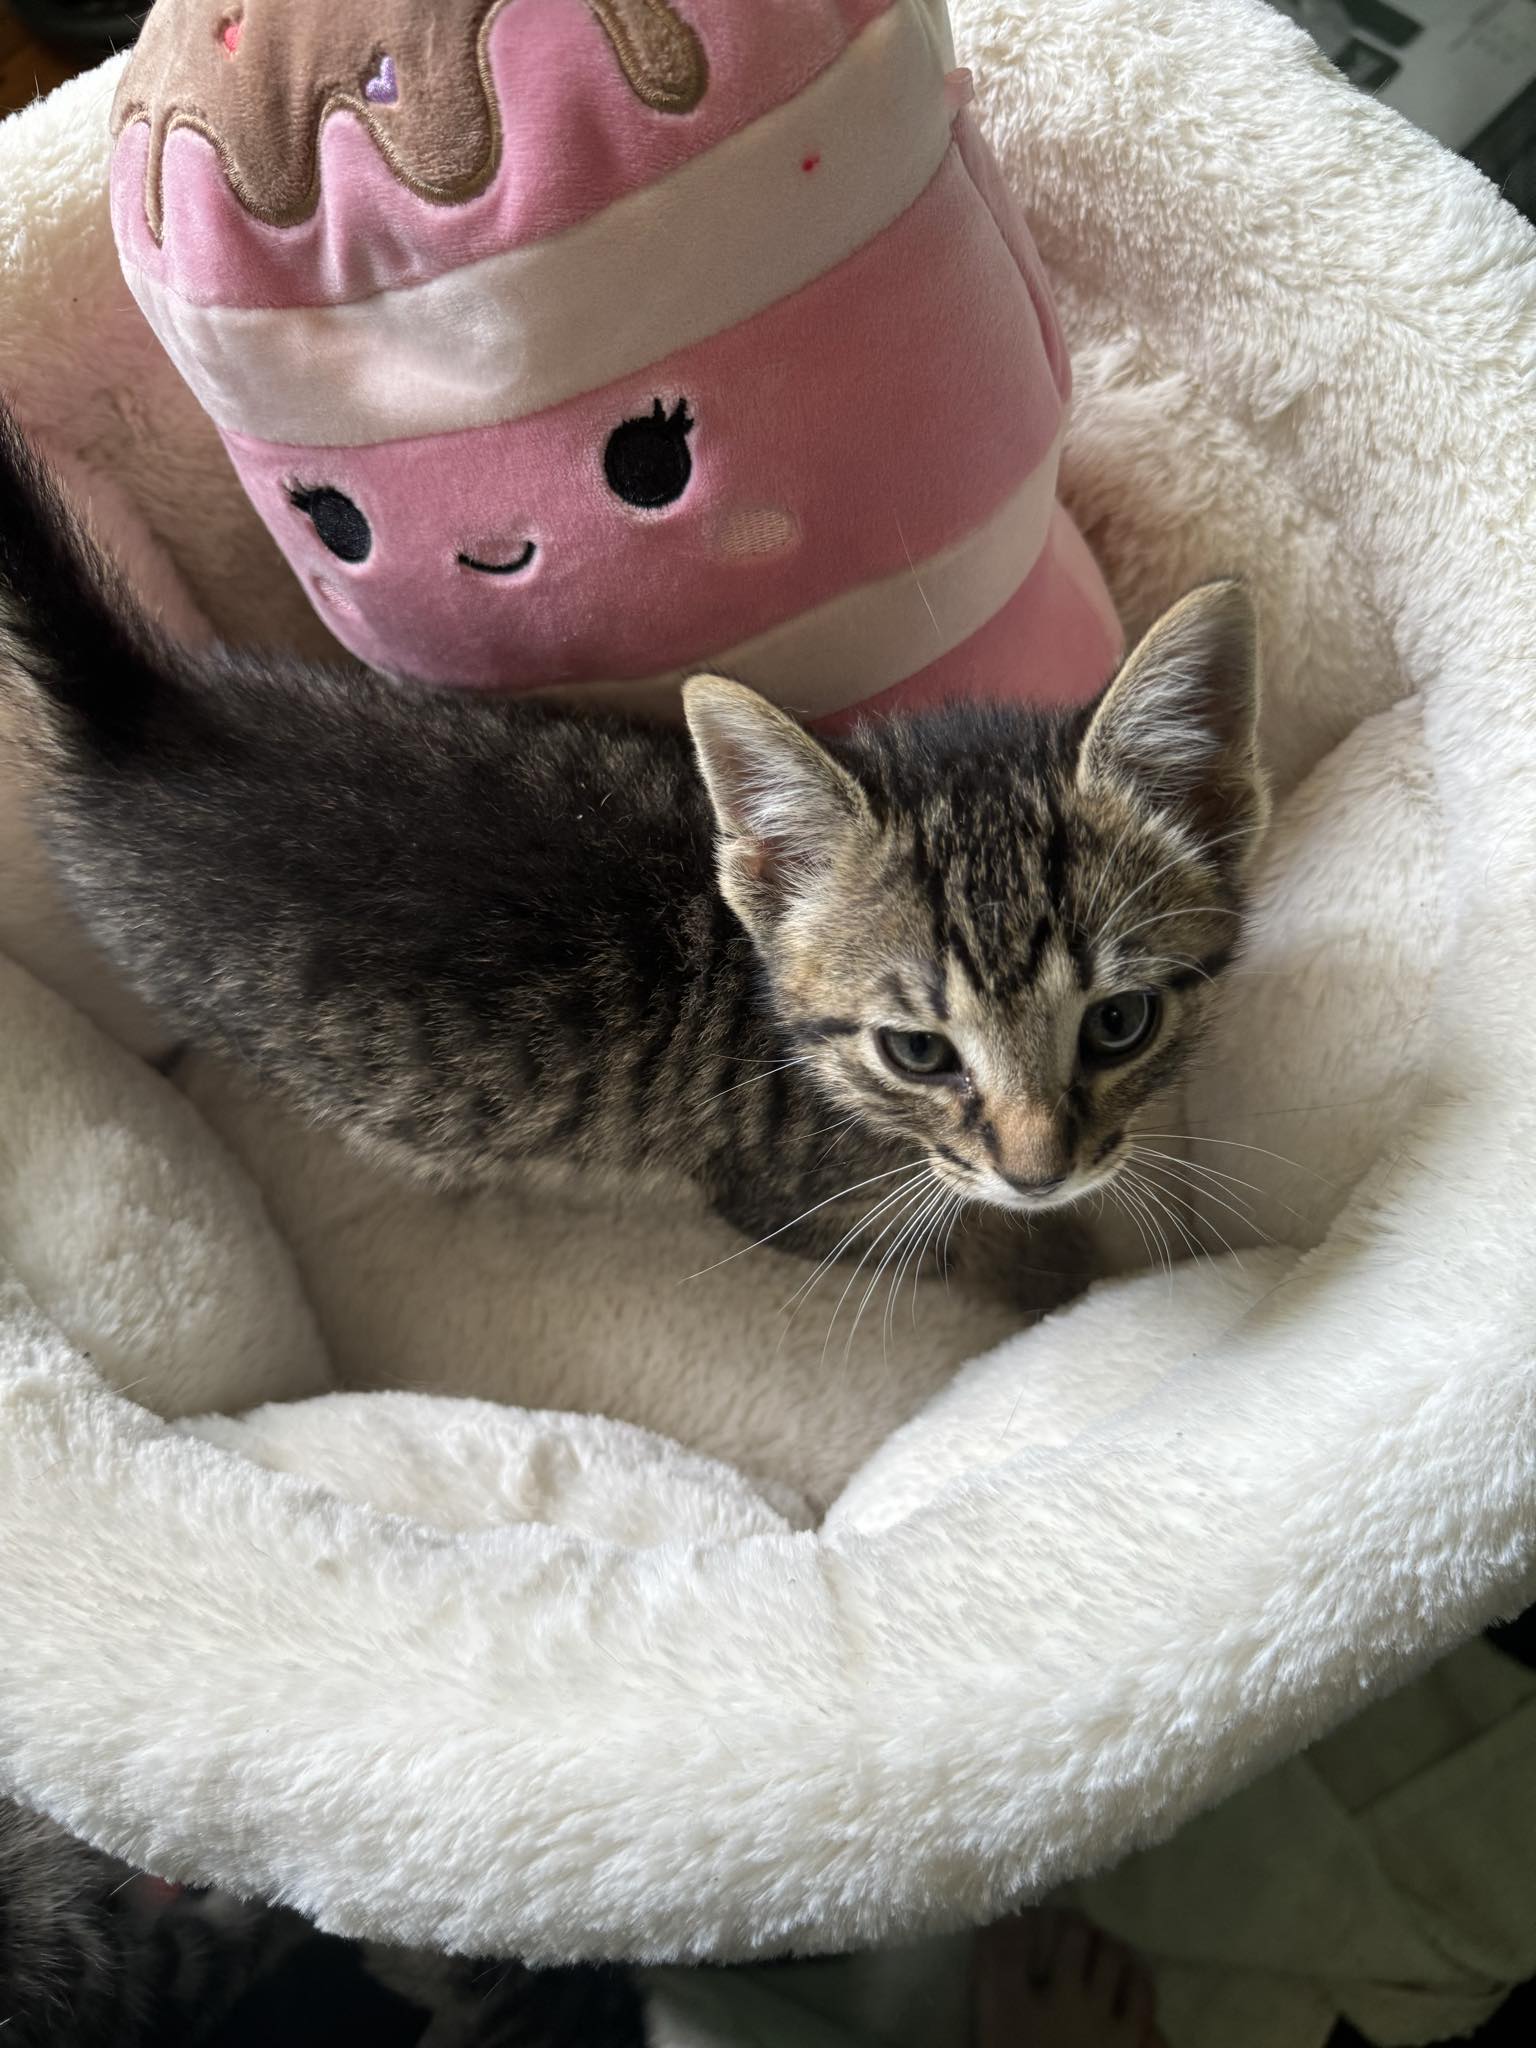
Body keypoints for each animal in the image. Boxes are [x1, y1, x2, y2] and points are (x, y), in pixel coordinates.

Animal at [0, 413, 1269, 1294]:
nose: (1040, 1169)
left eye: (1120, 1022)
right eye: (916, 1050)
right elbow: (954, 1248)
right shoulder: (781, 1200)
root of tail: (148, 713)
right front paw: (1068, 1270)